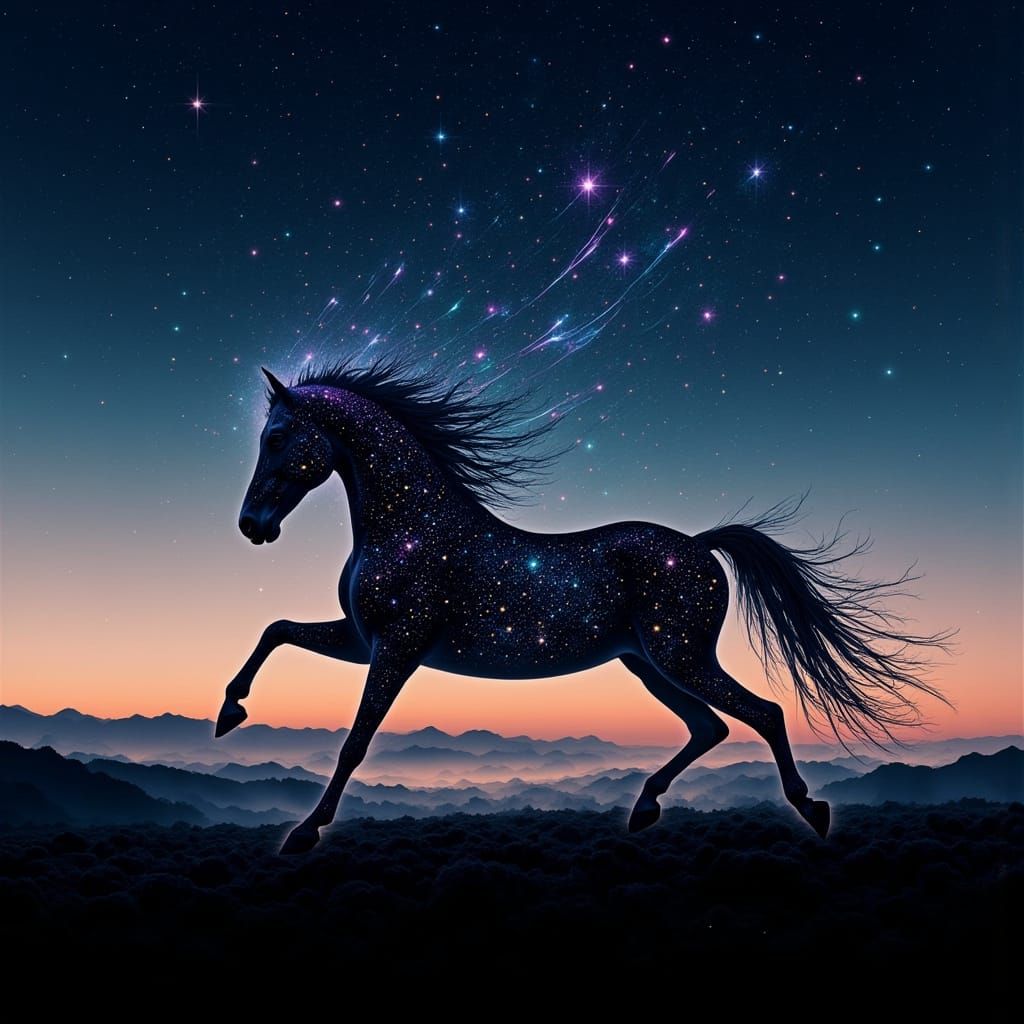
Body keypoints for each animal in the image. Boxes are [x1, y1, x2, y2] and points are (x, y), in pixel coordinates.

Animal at [217, 360, 950, 854]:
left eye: (278, 437)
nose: (251, 526)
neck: (411, 525)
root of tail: (700, 548)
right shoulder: (362, 638)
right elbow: (277, 629)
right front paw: (230, 715)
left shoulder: (396, 648)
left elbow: (354, 741)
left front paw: (304, 831)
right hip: (646, 663)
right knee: (710, 727)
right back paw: (644, 809)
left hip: (678, 656)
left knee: (762, 713)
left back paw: (812, 811)